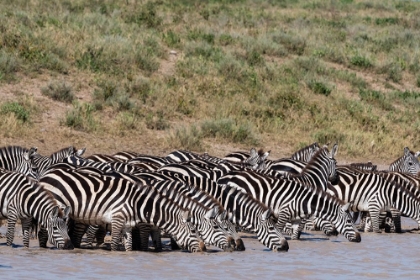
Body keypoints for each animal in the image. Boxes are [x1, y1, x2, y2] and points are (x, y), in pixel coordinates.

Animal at [37, 166, 203, 252]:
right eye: (193, 231)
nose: (201, 249)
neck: (136, 203)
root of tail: (46, 174)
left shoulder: (127, 225)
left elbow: (129, 247)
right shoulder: (117, 219)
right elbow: (115, 244)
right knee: (44, 230)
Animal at [217, 168, 360, 243]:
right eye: (349, 221)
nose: (359, 239)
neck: (304, 201)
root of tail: (224, 176)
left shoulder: (296, 219)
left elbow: (295, 235)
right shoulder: (283, 213)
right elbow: (279, 230)